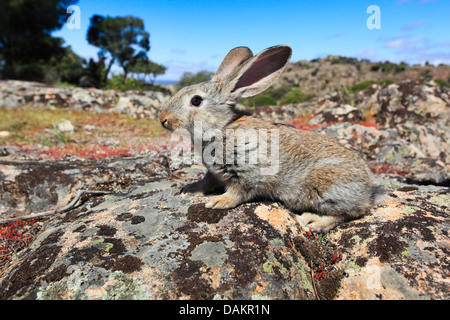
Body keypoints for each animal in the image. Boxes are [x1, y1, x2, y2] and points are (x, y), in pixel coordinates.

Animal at [160, 45, 384, 231]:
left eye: (196, 101)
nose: (163, 119)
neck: (222, 127)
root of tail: (368, 191)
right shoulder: (214, 172)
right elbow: (206, 181)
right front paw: (189, 189)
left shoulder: (247, 171)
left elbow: (238, 192)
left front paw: (218, 202)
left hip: (324, 189)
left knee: (353, 212)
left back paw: (312, 221)